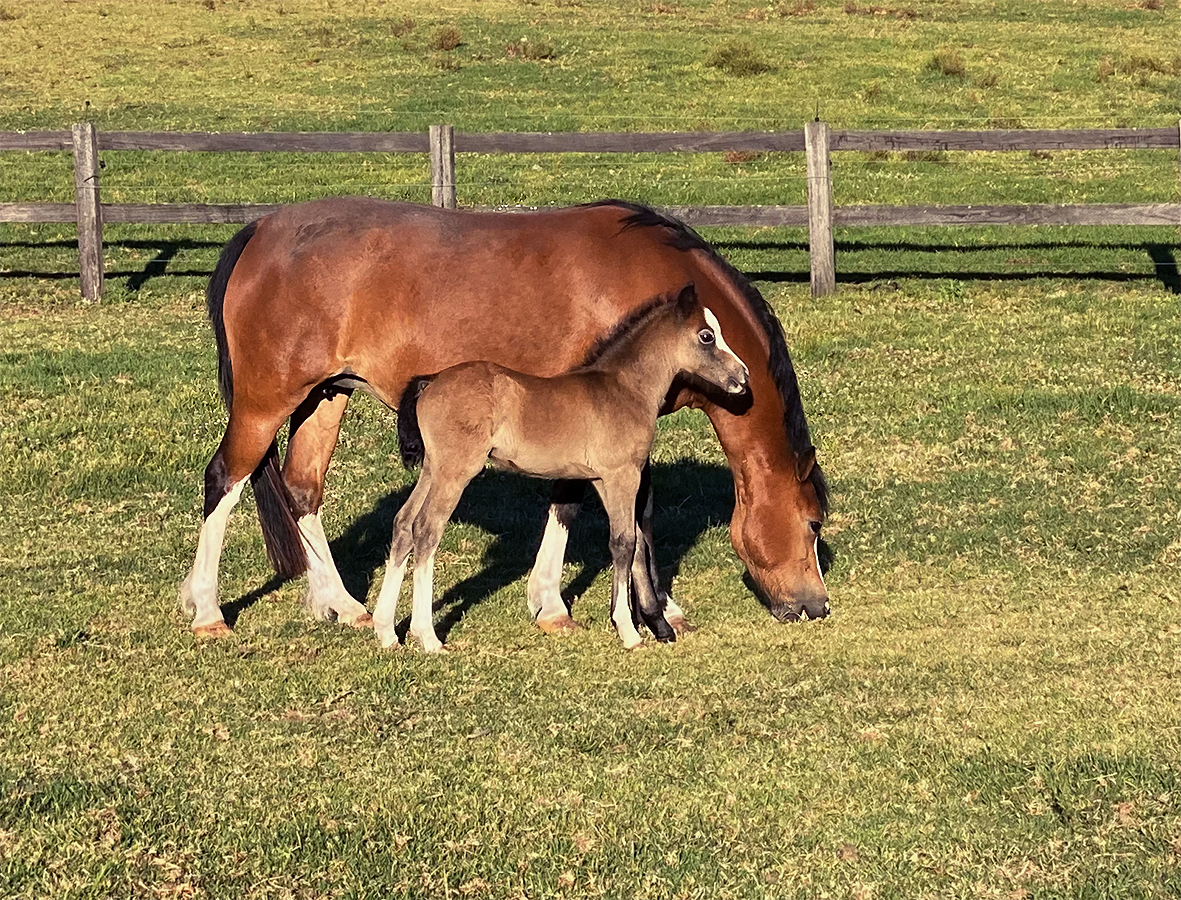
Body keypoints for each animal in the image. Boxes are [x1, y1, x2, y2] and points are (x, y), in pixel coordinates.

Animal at [375, 283, 749, 652]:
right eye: (706, 336)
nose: (742, 375)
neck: (624, 389)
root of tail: (431, 382)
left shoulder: (602, 479)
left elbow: (633, 542)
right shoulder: (622, 475)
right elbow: (625, 542)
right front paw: (629, 631)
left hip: (433, 469)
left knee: (404, 523)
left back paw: (386, 631)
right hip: (455, 472)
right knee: (426, 530)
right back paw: (427, 635)